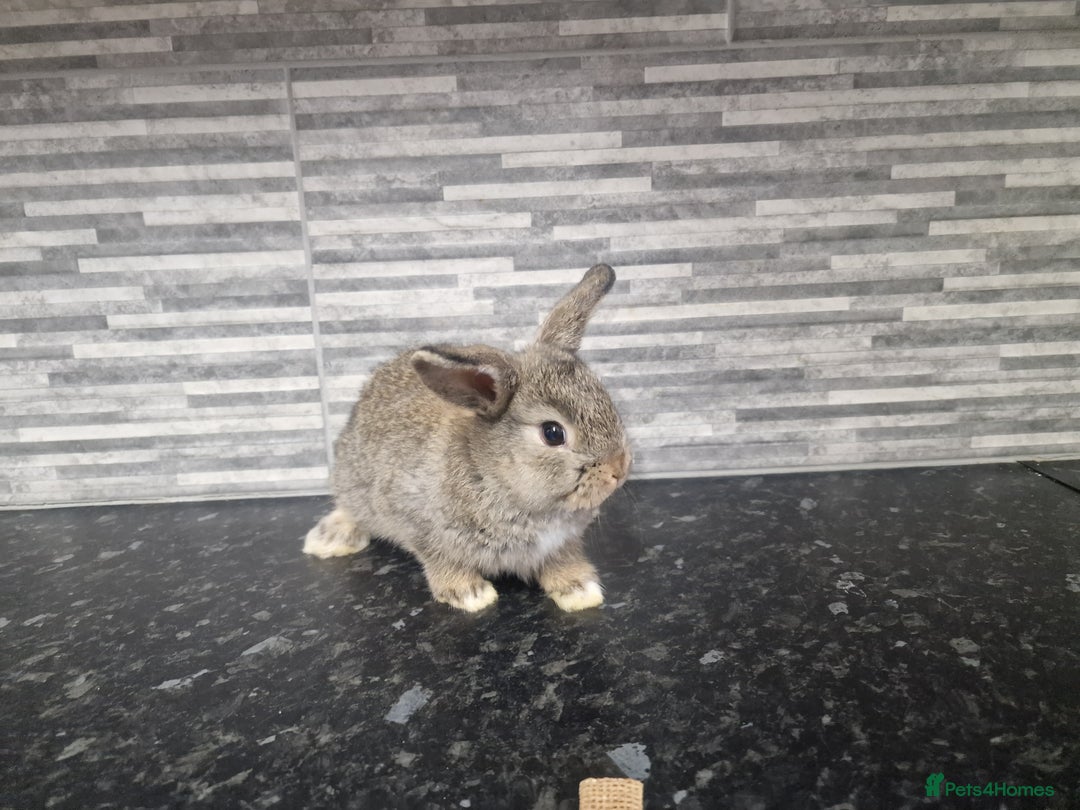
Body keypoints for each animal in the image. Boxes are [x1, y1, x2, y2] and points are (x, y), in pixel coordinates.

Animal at [303, 263, 632, 612]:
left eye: (606, 400)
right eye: (553, 433)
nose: (619, 468)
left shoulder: (561, 543)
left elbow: (562, 561)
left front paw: (580, 590)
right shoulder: (420, 525)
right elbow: (441, 561)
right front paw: (470, 594)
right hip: (352, 482)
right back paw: (329, 538)